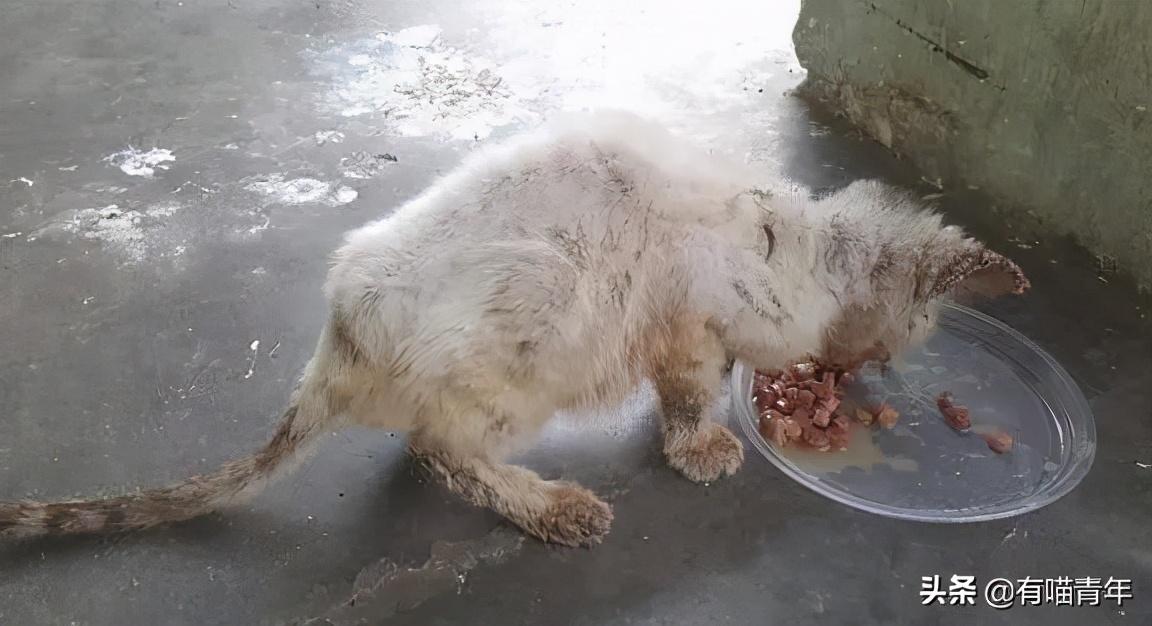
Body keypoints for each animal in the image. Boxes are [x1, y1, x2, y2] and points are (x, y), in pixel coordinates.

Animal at [0, 112, 1027, 548]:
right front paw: (706, 452)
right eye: (899, 341)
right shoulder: (686, 329)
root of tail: (335, 342)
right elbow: (690, 403)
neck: (803, 243)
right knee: (439, 454)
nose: (867, 377)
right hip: (533, 329)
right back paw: (560, 511)